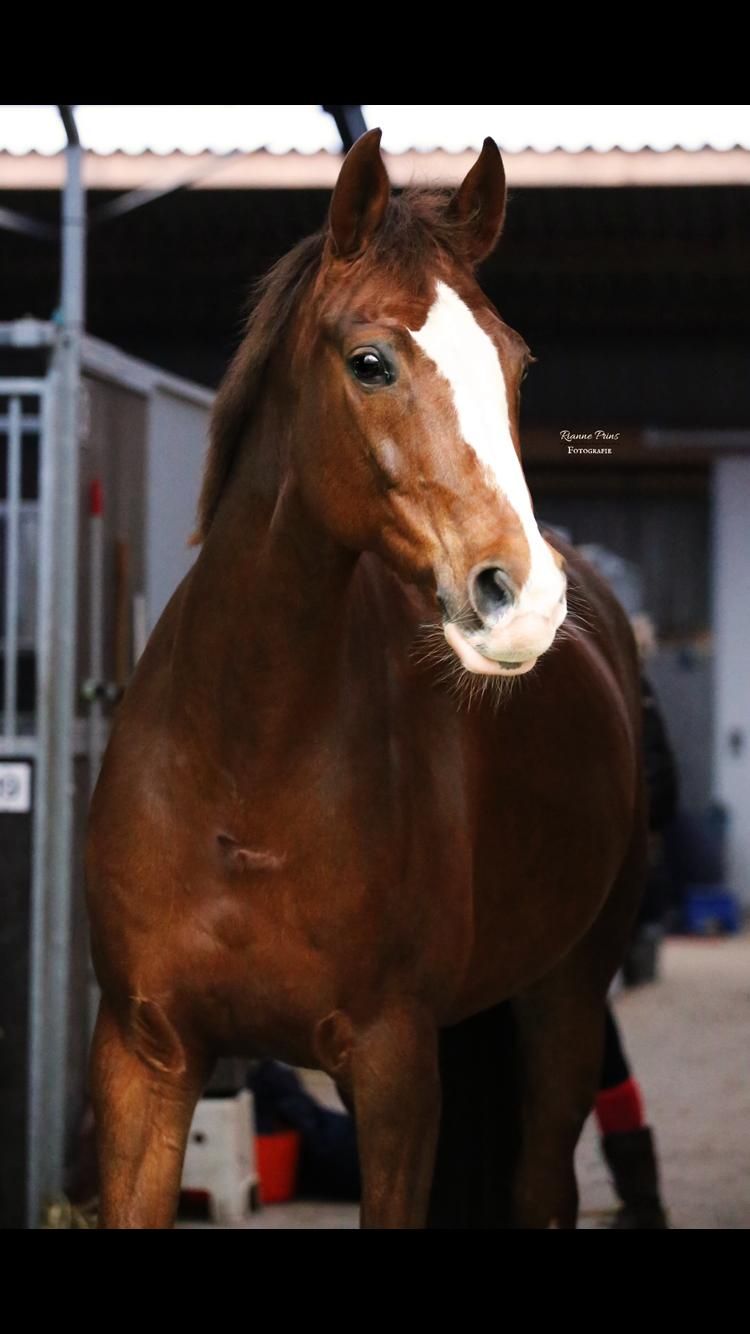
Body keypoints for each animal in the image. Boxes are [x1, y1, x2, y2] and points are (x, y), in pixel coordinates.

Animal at [86, 129, 646, 1229]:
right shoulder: (143, 1058)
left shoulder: (394, 1073)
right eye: (371, 362)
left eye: (514, 363)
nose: (522, 598)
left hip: (566, 999)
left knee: (542, 1182)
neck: (241, 766)